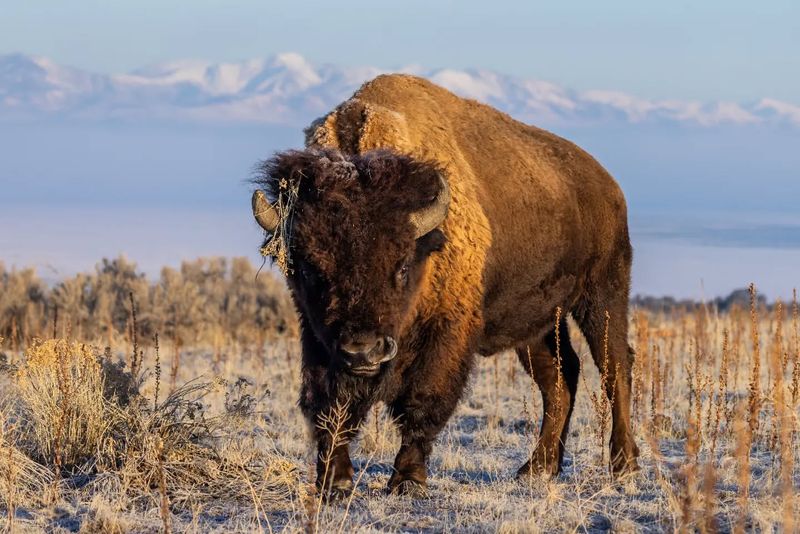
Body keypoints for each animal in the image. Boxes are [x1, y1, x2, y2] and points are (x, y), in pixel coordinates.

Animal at [250, 74, 636, 498]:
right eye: (310, 268)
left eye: (402, 265)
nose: (363, 351)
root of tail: (608, 186)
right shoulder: (319, 338)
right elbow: (328, 404)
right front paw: (334, 481)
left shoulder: (447, 330)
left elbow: (425, 399)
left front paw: (407, 481)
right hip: (537, 323)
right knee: (560, 377)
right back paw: (537, 468)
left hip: (603, 295)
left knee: (615, 368)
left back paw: (624, 465)